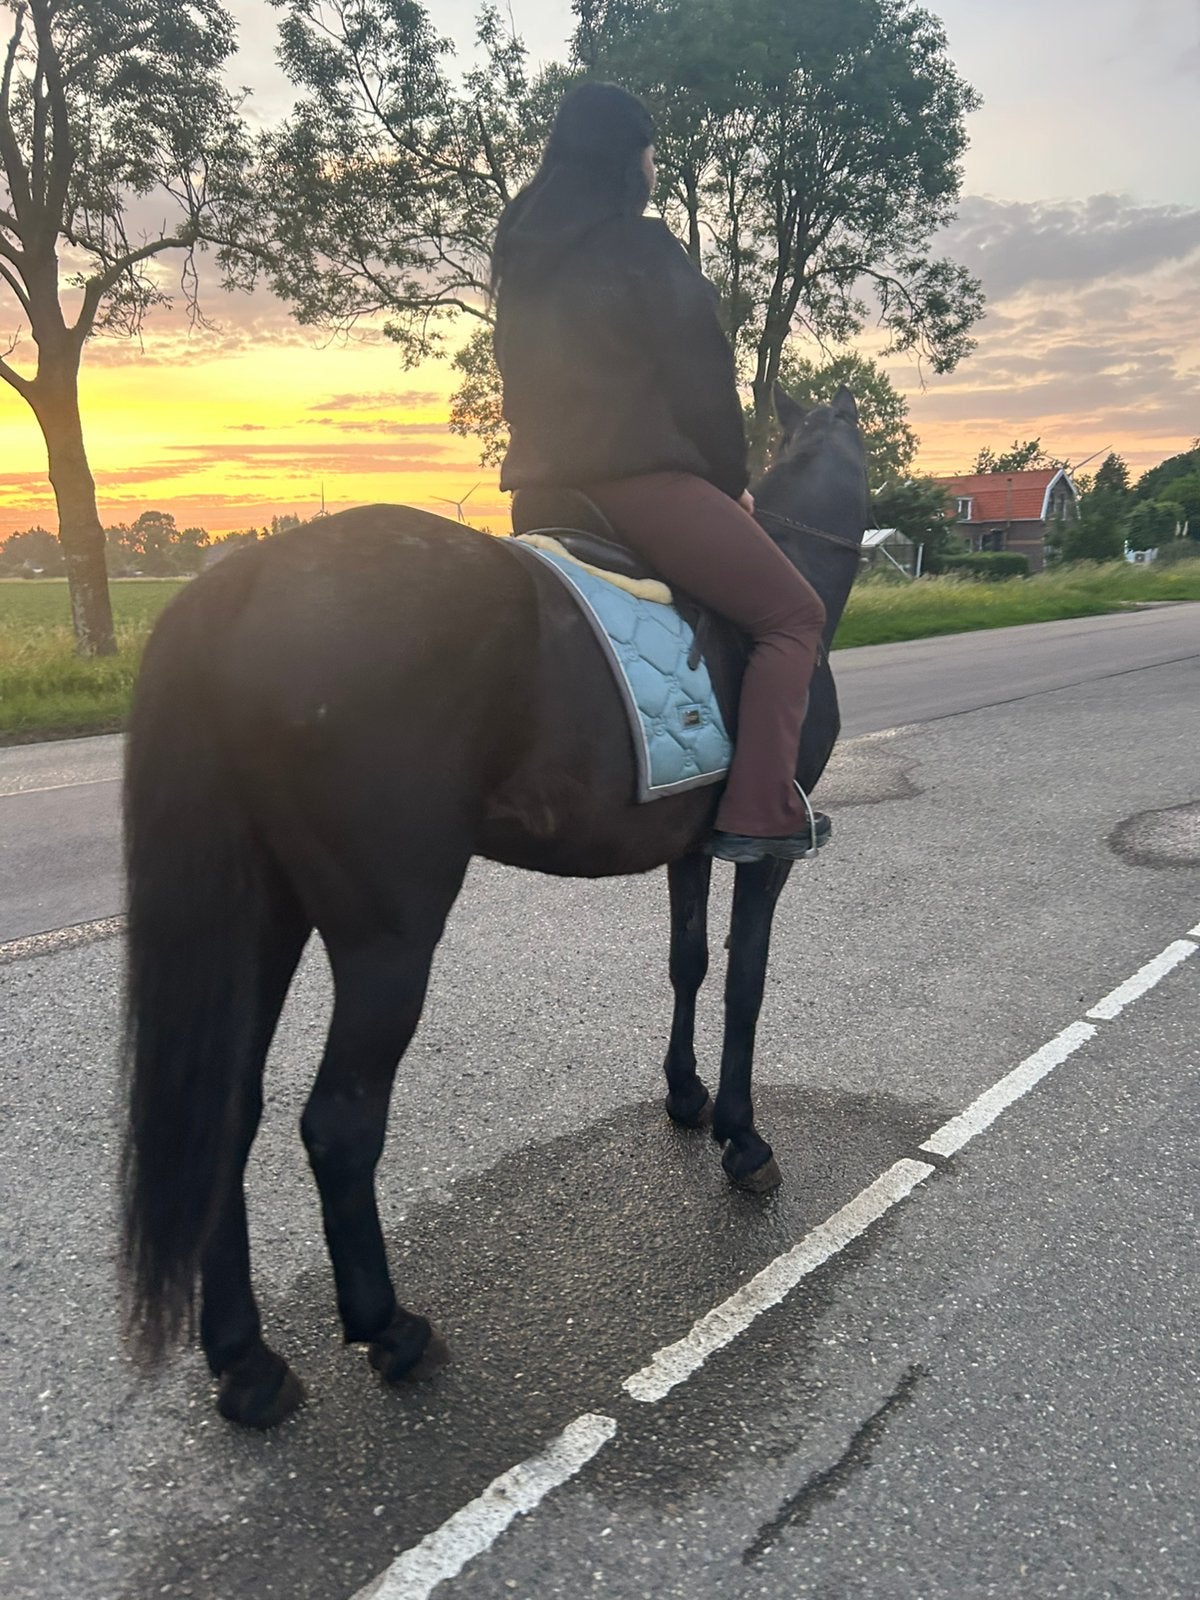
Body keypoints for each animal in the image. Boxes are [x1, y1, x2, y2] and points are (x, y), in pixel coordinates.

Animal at [120, 384, 869, 1428]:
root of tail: (243, 582)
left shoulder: (690, 848)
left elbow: (688, 964)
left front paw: (686, 1098)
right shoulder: (766, 856)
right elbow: (746, 984)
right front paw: (742, 1136)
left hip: (262, 921)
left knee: (227, 1112)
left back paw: (248, 1363)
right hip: (387, 938)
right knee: (339, 1125)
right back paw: (390, 1329)